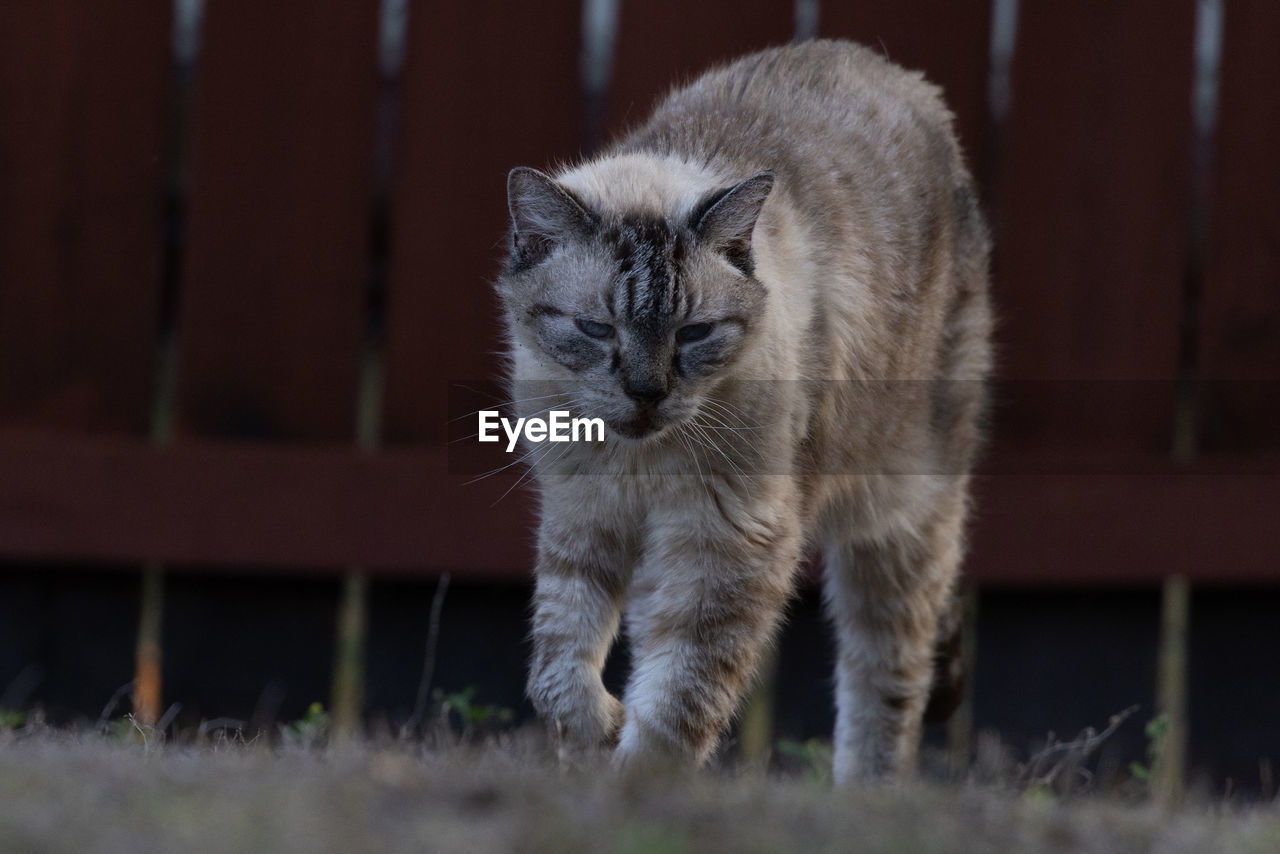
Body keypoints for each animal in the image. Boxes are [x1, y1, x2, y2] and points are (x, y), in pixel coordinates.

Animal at [488, 41, 988, 788]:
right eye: (596, 330)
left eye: (694, 334)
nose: (646, 393)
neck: (641, 459)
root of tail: (896, 73)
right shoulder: (584, 518)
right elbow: (559, 671)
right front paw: (597, 740)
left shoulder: (725, 544)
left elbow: (678, 700)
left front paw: (634, 789)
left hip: (897, 518)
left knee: (888, 679)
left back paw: (866, 799)